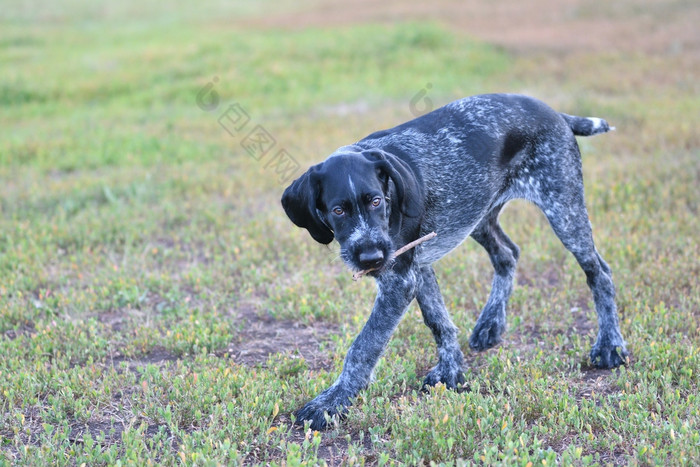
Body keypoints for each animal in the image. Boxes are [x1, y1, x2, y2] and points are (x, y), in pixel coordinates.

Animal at [282, 93, 628, 430]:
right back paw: (490, 323)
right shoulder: (416, 269)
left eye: (377, 201)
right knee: (508, 254)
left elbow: (364, 346)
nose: (371, 258)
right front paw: (451, 370)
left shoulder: (399, 278)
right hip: (479, 215)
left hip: (563, 210)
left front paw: (332, 402)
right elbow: (439, 321)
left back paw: (610, 345)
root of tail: (556, 113)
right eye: (338, 211)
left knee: (600, 272)